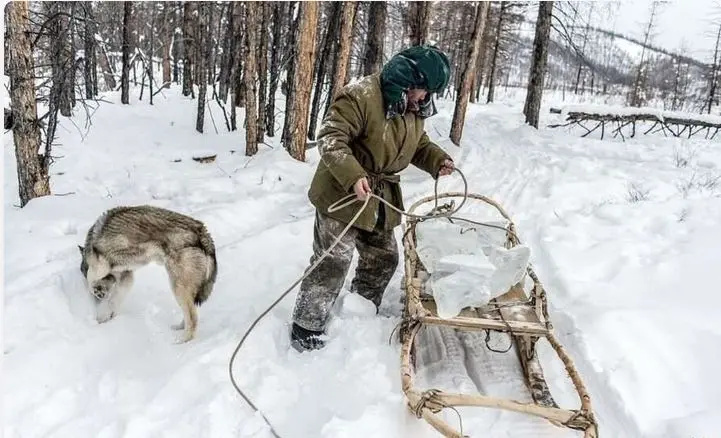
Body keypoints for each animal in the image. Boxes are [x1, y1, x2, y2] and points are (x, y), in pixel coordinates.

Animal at [77, 204, 217, 344]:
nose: (99, 296)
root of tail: (202, 232)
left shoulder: (99, 266)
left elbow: (91, 280)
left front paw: (99, 301)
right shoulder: (126, 278)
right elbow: (114, 300)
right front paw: (107, 317)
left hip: (177, 287)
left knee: (193, 318)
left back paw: (182, 341)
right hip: (184, 290)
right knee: (190, 312)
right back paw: (180, 327)